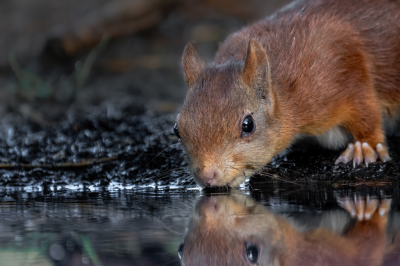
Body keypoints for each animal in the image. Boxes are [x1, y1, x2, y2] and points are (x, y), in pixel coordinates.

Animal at [174, 0, 400, 187]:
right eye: (177, 129)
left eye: (248, 125)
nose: (206, 176)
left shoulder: (344, 71)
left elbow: (365, 108)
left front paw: (365, 145)